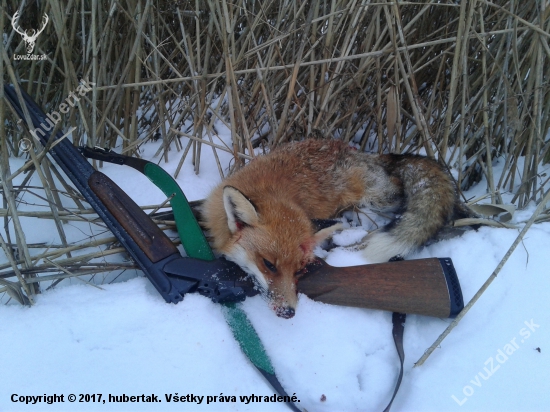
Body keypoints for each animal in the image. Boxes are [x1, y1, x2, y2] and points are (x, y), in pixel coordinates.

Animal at [203, 139, 474, 318]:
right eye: (269, 265)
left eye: (300, 271)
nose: (289, 312)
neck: (272, 191)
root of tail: (368, 154)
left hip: (378, 197)